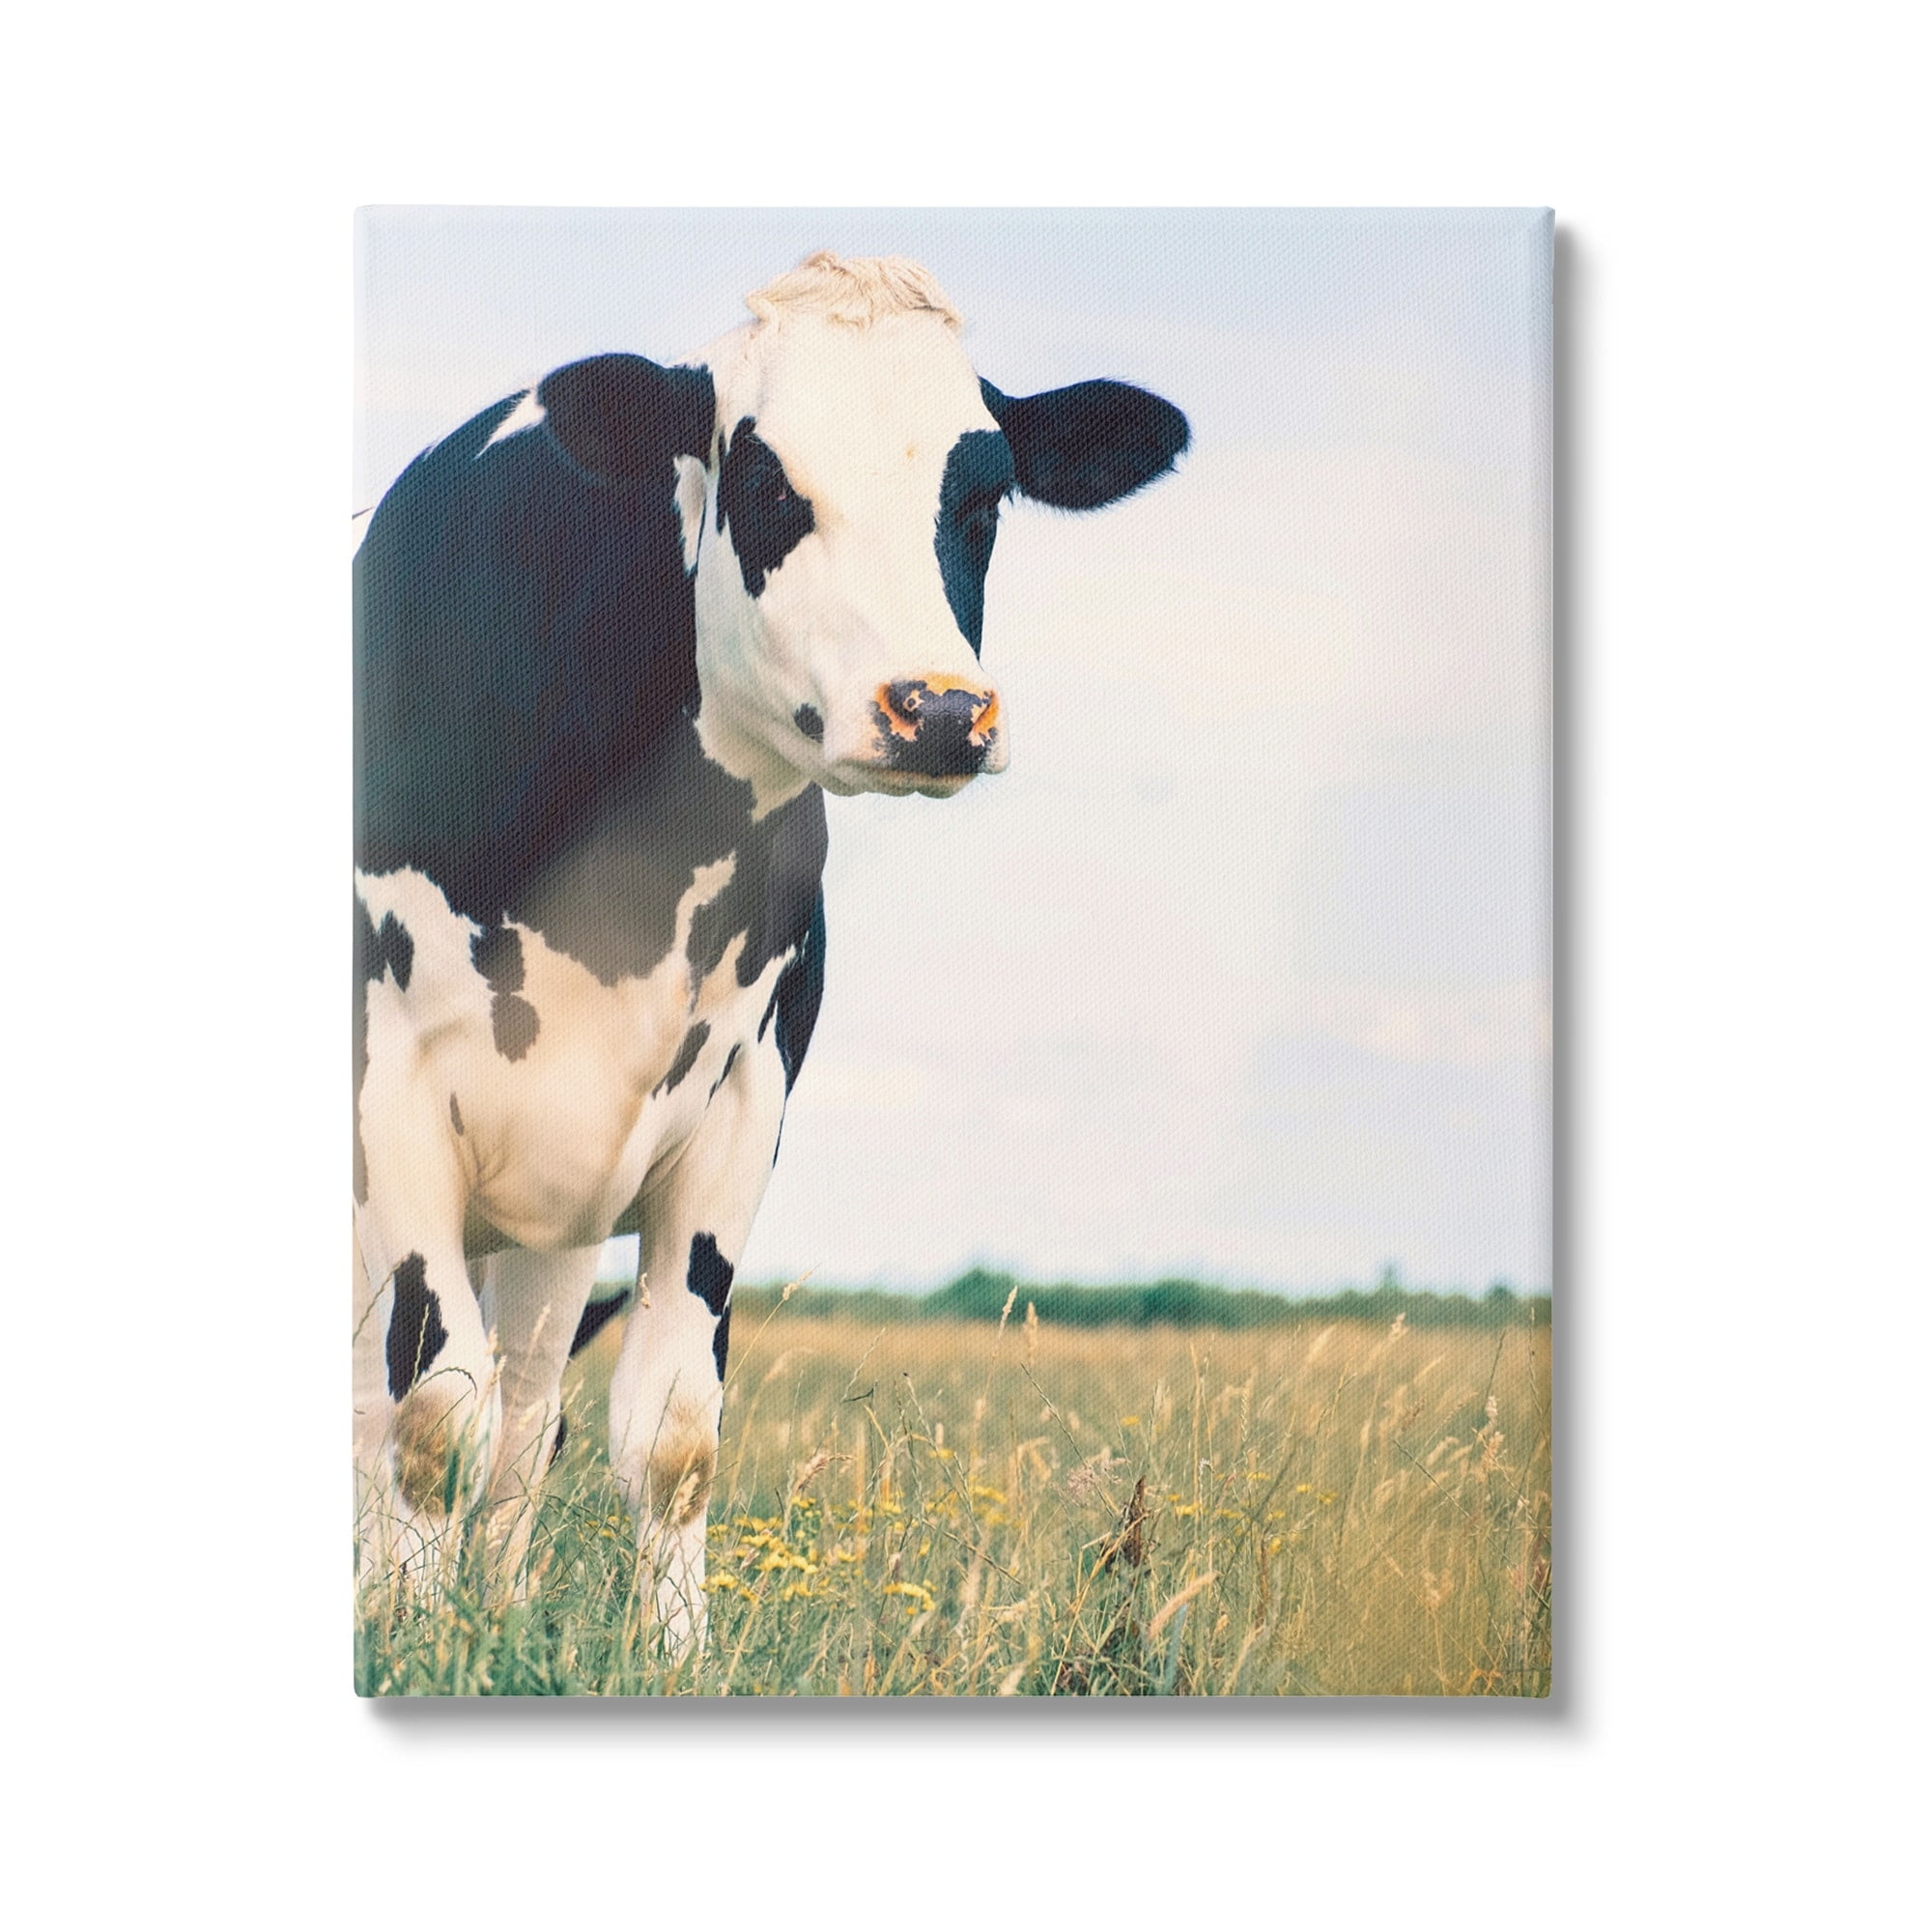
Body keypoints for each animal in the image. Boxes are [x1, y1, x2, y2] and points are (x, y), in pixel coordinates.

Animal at [353, 251, 1187, 1649]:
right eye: (765, 483)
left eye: (985, 495)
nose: (940, 709)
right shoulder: (393, 1089)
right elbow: (427, 1411)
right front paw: (409, 1644)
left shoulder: (740, 1099)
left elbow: (664, 1431)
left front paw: (661, 1652)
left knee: (529, 1410)